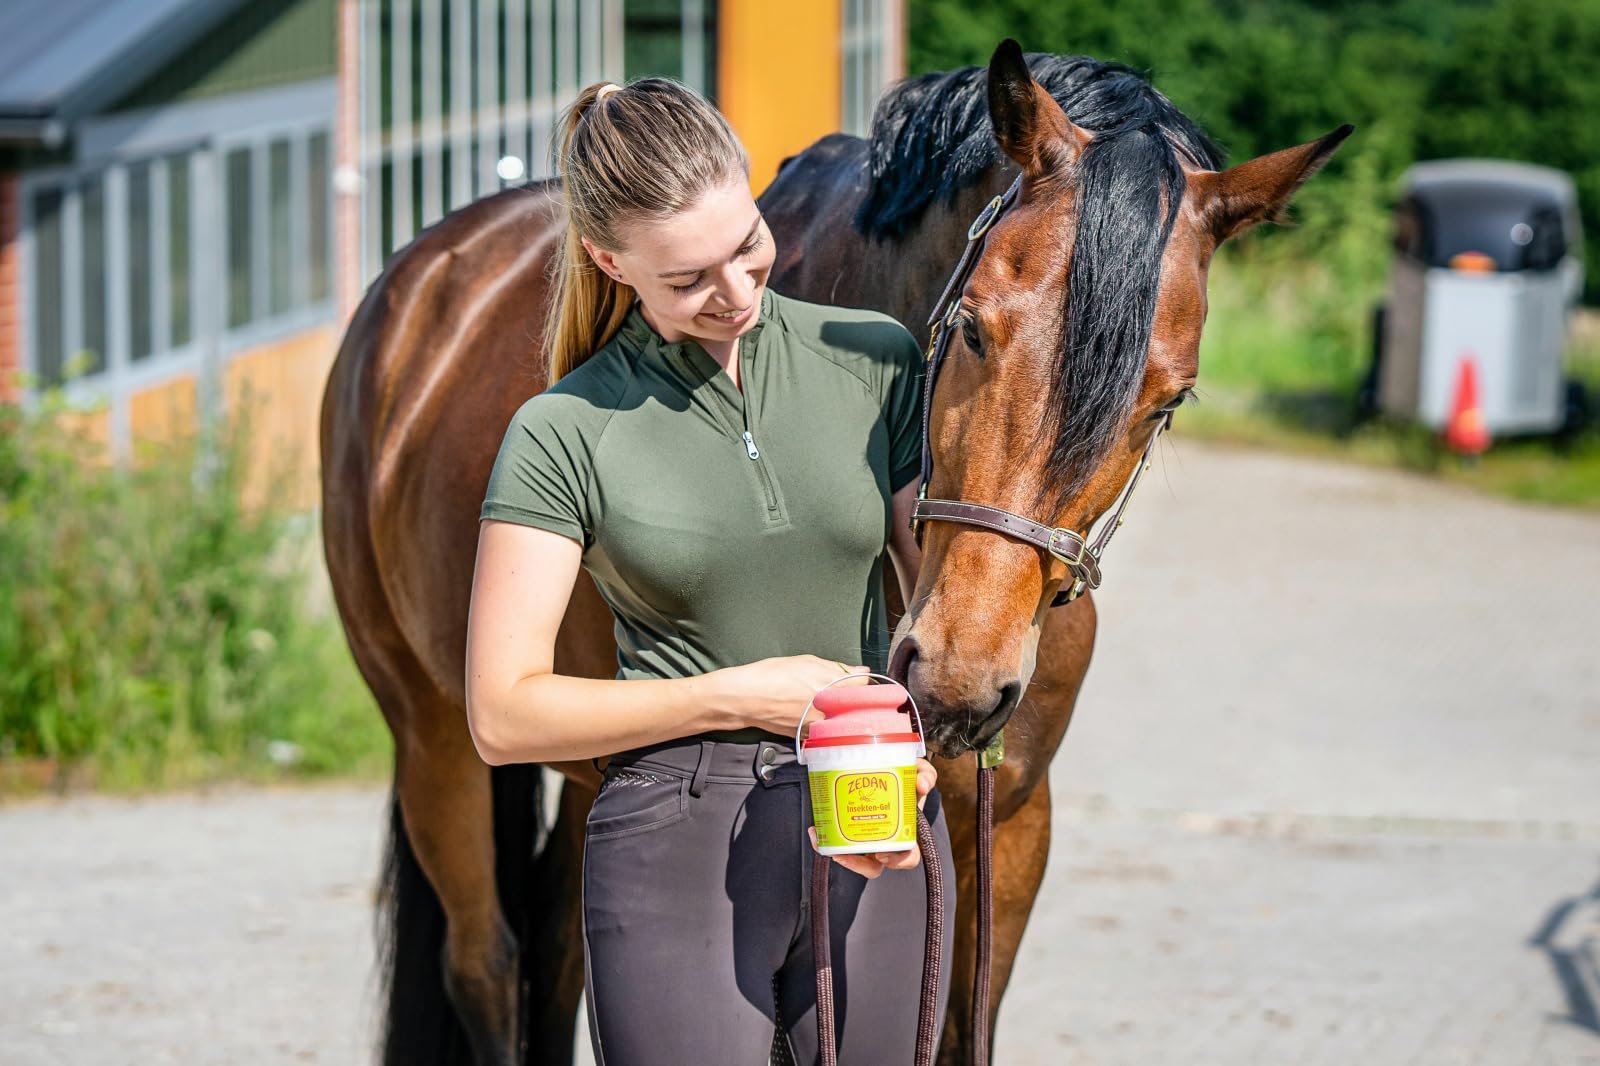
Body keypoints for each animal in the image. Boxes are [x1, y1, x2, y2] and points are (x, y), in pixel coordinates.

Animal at [320, 39, 1348, 1066]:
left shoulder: (1013, 828)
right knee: (485, 962)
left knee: (556, 940)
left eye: (1168, 400)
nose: (957, 685)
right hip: (433, 731)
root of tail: (417, 283)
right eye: (972, 326)